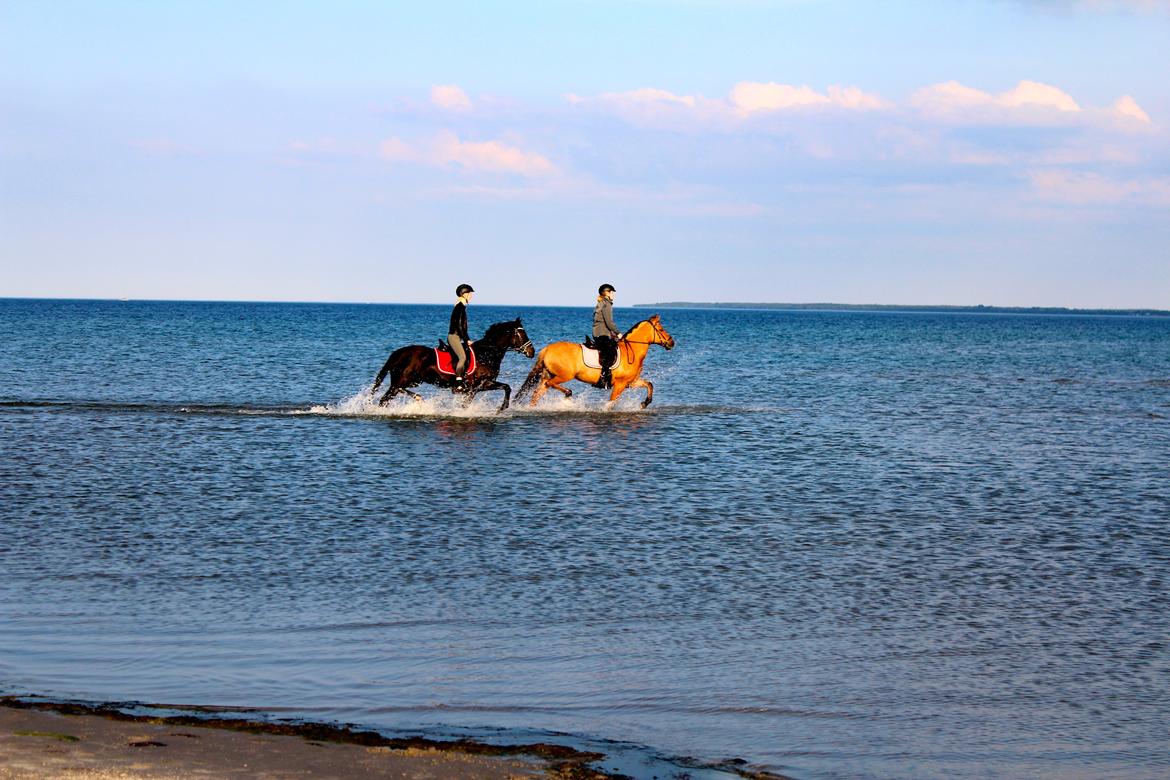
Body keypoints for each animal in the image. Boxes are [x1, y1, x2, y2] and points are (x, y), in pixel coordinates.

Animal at [369, 318, 535, 413]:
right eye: (521, 334)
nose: (532, 352)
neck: (486, 354)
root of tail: (400, 352)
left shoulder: (484, 383)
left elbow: (507, 387)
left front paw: (502, 408)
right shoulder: (472, 388)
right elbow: (466, 405)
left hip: (412, 380)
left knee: (395, 393)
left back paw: (418, 398)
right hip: (404, 380)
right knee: (386, 398)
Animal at [519, 313, 678, 409]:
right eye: (661, 329)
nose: (671, 342)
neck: (632, 350)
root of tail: (547, 349)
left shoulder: (630, 382)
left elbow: (649, 384)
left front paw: (645, 403)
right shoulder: (620, 385)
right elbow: (611, 403)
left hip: (549, 375)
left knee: (537, 394)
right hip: (564, 376)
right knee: (550, 385)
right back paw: (568, 393)